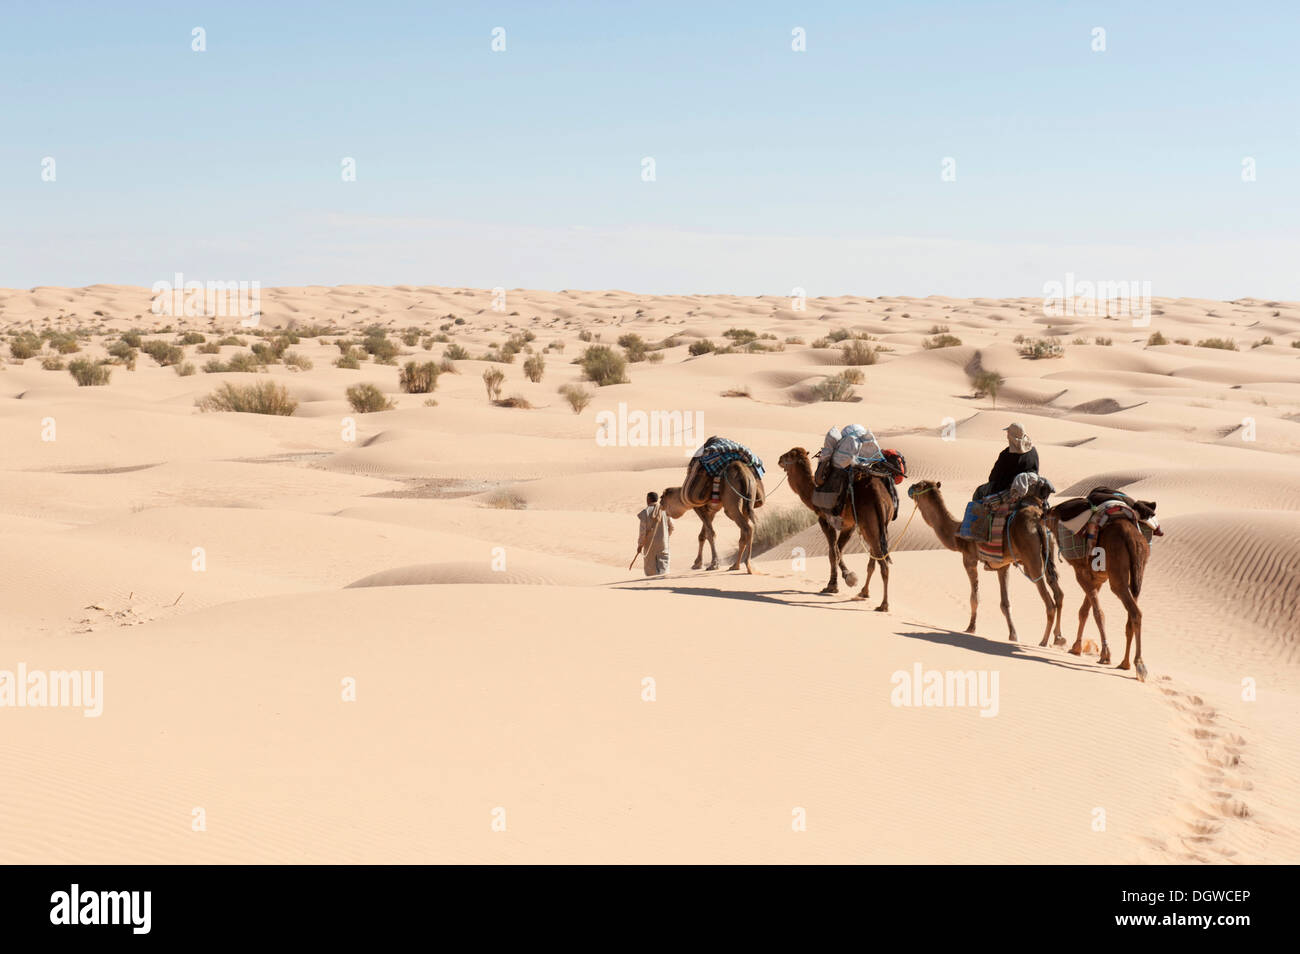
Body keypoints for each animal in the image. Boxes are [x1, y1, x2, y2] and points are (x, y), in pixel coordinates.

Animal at [769, 447, 894, 613]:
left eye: (789, 455)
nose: (779, 459)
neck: (813, 493)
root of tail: (879, 495)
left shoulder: (825, 520)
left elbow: (832, 552)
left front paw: (837, 583)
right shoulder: (850, 525)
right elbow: (838, 550)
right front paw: (843, 580)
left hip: (868, 525)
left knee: (883, 563)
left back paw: (883, 605)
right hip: (878, 525)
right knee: (876, 557)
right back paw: (864, 592)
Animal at [904, 480, 1066, 647]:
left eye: (918, 486)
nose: (910, 488)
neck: (956, 535)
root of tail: (1038, 520)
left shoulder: (969, 559)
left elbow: (974, 597)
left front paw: (970, 628)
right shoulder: (1003, 566)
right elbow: (1005, 603)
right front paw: (1013, 635)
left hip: (1031, 557)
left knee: (1049, 601)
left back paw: (1043, 641)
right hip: (1048, 549)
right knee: (1058, 593)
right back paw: (1058, 638)